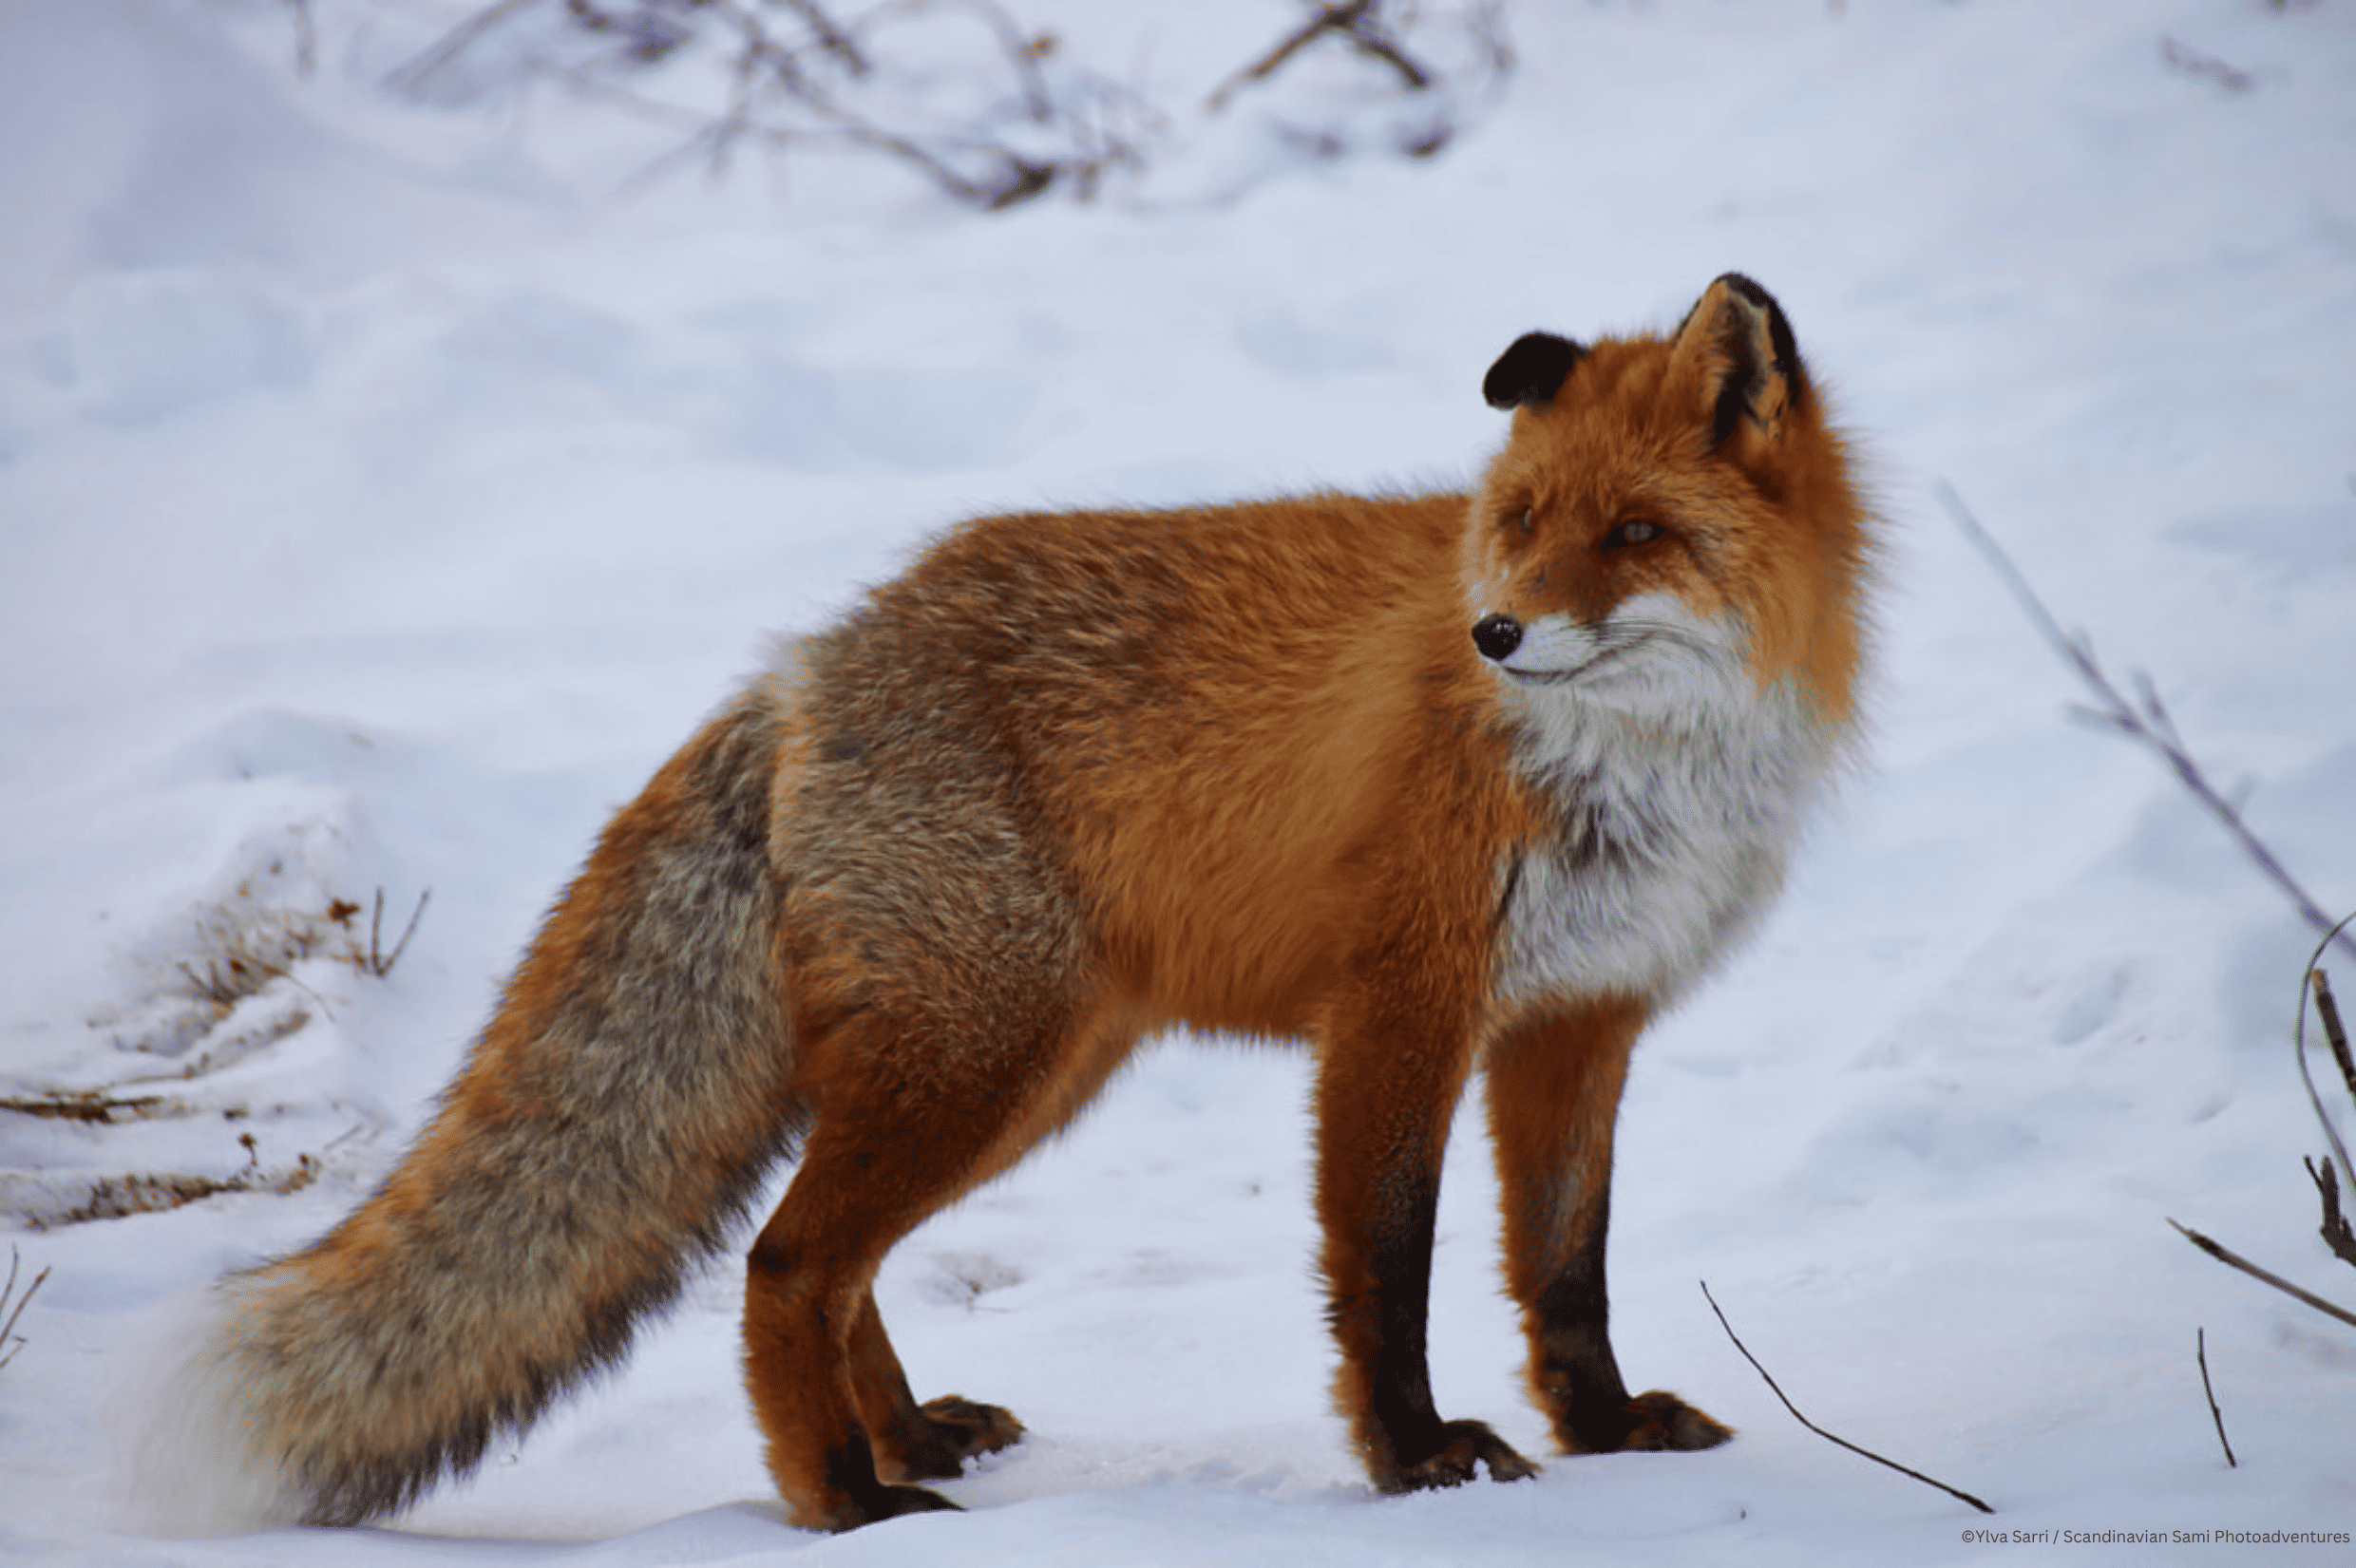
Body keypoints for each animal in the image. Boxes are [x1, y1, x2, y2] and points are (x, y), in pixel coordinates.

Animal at [133, 274, 1873, 1534]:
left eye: (1634, 533)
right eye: (1515, 526)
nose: (1495, 634)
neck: (1632, 771)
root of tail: (801, 664)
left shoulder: (1579, 1017)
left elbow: (1566, 1265)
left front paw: (1607, 1435)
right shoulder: (1400, 1009)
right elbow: (1386, 1269)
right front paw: (1418, 1461)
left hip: (1025, 1065)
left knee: (828, 1263)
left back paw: (906, 1434)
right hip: (990, 1051)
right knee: (783, 1262)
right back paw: (843, 1499)